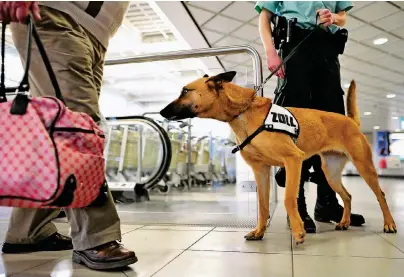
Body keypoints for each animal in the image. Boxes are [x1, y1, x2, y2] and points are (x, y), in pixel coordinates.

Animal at [159, 71, 396, 244]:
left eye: (185, 91)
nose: (161, 112)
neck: (243, 111)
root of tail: (351, 121)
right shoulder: (261, 171)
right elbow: (263, 205)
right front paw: (259, 231)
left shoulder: (293, 161)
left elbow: (289, 199)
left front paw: (299, 231)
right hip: (331, 174)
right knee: (347, 196)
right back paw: (345, 221)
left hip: (364, 167)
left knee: (381, 195)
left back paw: (389, 224)